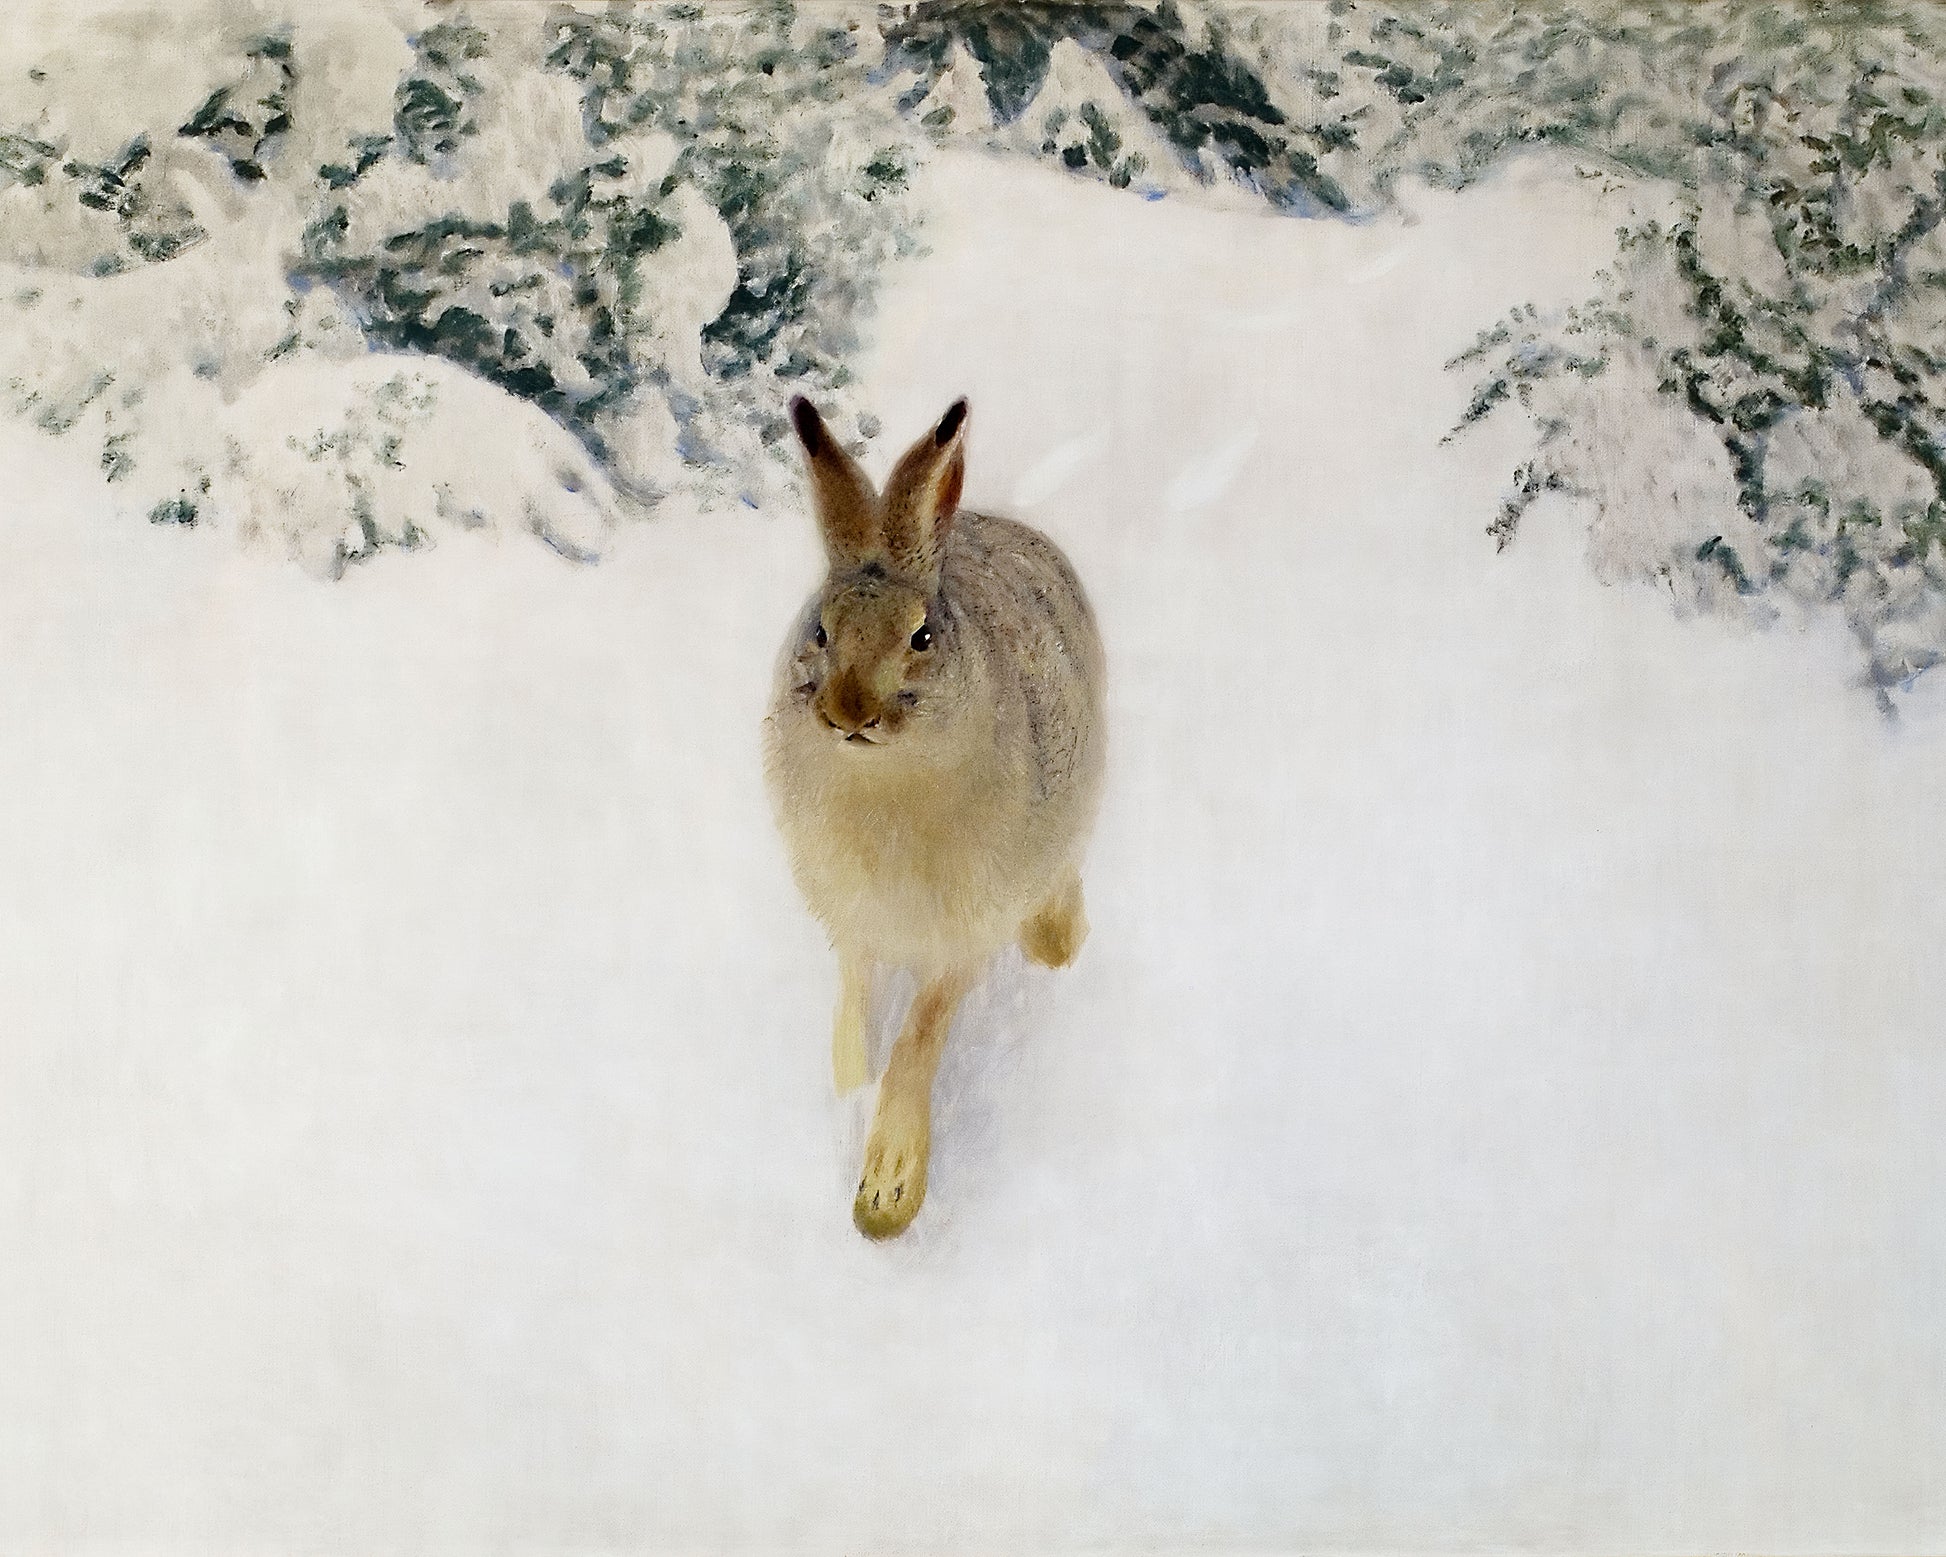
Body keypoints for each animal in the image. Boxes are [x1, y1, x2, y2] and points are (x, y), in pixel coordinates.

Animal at [763, 395, 1106, 1239]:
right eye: (820, 631)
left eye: (921, 636)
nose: (849, 710)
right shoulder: (854, 921)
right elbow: (855, 1006)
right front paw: (847, 1092)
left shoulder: (964, 932)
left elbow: (920, 1034)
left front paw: (888, 1189)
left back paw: (1057, 942)